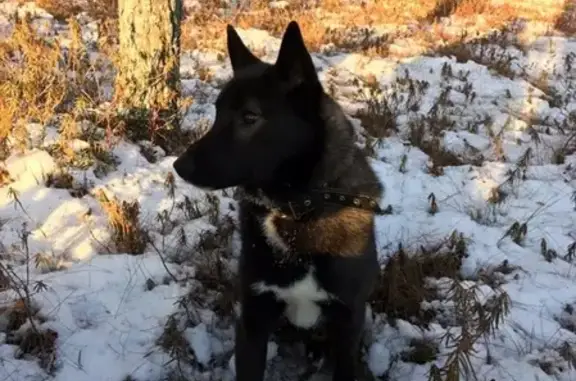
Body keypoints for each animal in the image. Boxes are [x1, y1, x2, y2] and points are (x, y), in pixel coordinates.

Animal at [173, 20, 384, 380]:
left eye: (249, 117)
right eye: (217, 113)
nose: (178, 166)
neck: (295, 210)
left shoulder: (348, 325)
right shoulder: (253, 322)